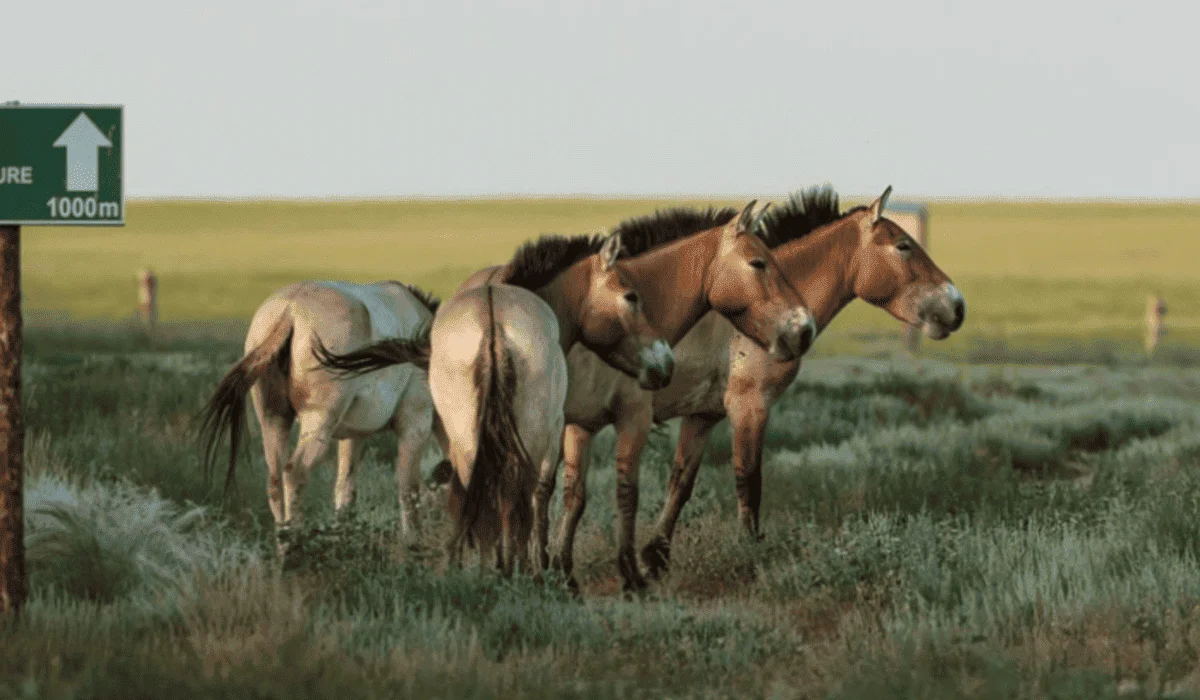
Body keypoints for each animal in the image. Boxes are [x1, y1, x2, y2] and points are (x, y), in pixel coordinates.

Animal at [198, 281, 441, 553]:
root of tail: (289, 309)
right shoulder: (415, 426)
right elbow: (408, 489)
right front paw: (412, 544)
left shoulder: (353, 437)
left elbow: (345, 490)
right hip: (318, 424)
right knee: (294, 472)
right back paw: (295, 548)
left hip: (274, 422)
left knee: (275, 481)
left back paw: (283, 546)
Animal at [554, 185, 967, 583]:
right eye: (903, 245)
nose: (957, 307)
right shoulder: (750, 407)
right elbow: (749, 482)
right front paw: (751, 555)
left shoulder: (703, 416)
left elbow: (681, 483)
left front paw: (656, 555)